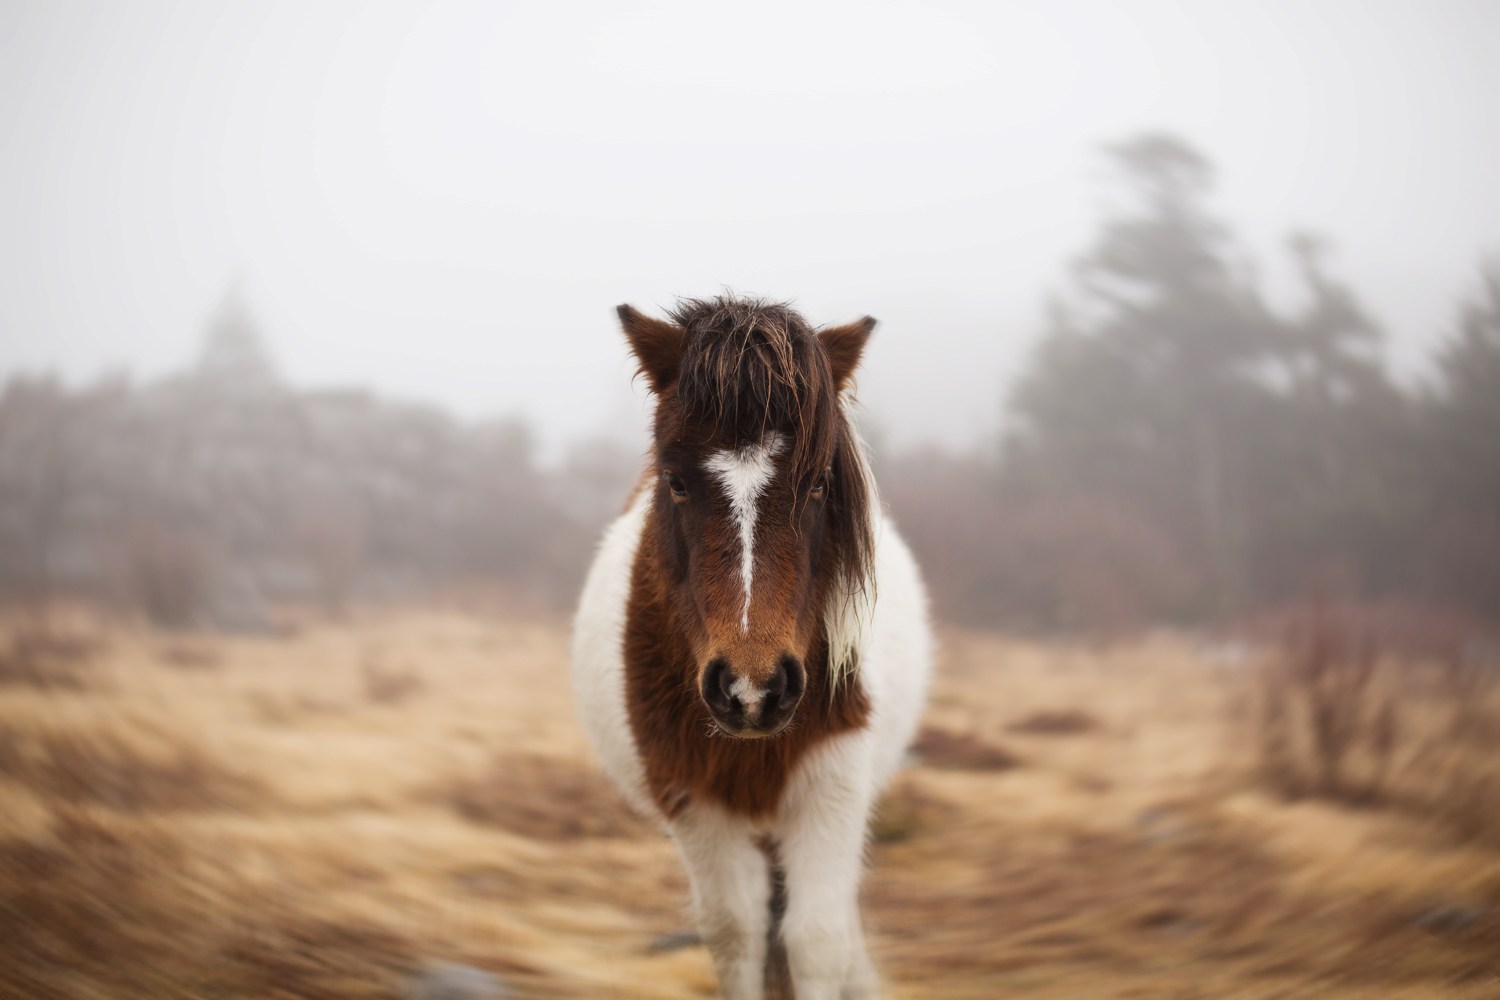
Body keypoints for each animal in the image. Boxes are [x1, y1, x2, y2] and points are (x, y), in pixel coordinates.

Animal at [570, 296, 930, 1000]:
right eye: (676, 481)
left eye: (817, 483)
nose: (752, 690)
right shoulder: (696, 801)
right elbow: (737, 934)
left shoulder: (831, 789)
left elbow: (817, 941)